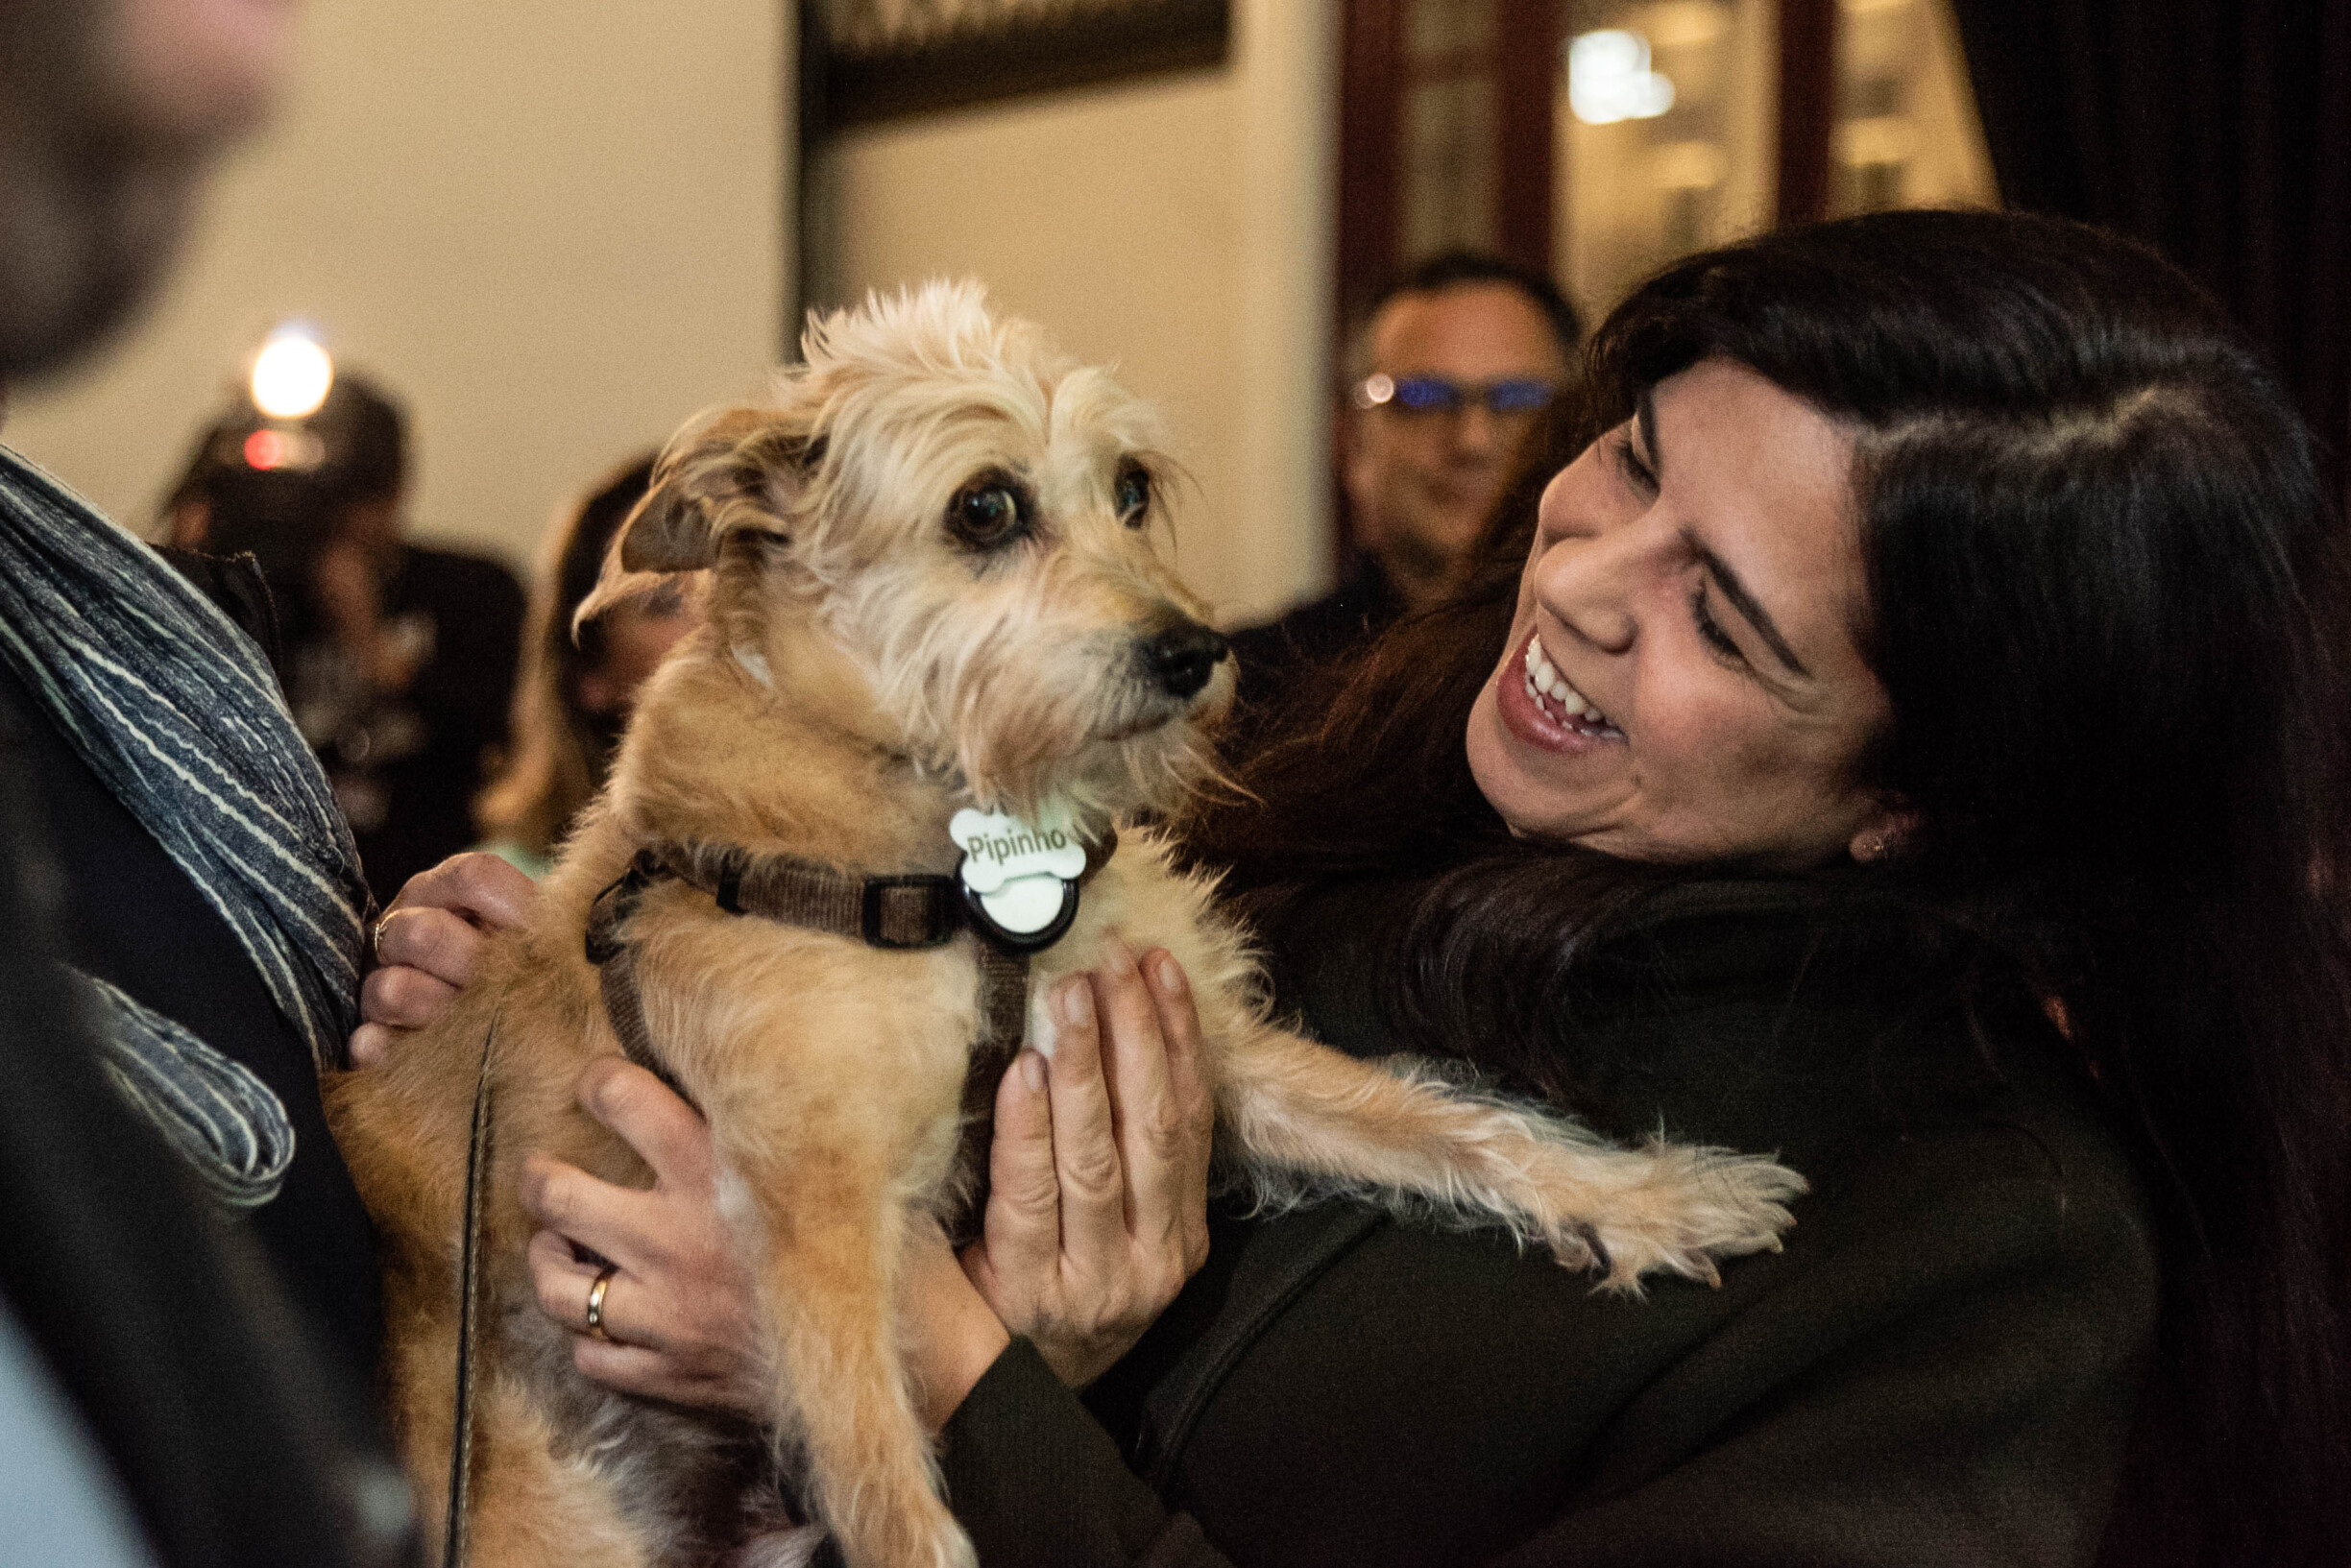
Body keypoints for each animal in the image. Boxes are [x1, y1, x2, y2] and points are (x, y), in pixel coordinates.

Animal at [327, 285, 1796, 1568]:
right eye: (986, 506)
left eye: (1131, 489)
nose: (1199, 652)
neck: (955, 849)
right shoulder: (811, 1203)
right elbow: (882, 1470)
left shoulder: (1217, 1053)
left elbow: (1438, 1119)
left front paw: (1651, 1195)